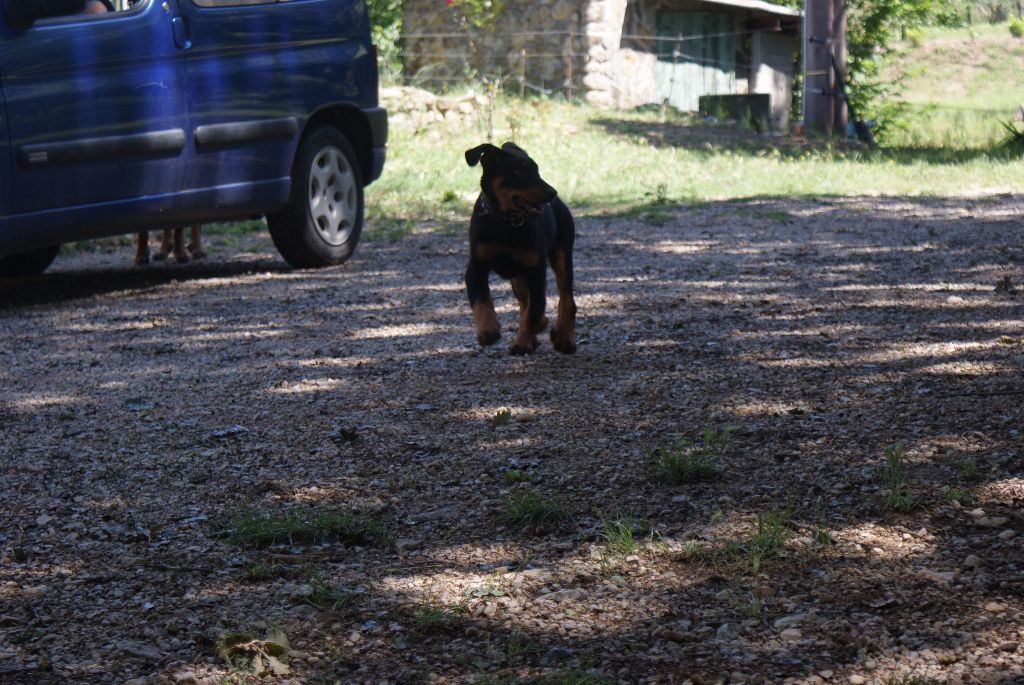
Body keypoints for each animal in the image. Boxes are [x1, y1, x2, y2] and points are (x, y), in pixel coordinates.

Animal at [464, 141, 577, 356]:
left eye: (537, 170)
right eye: (519, 172)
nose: (552, 193)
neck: (505, 222)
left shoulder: (536, 269)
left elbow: (535, 310)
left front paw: (540, 325)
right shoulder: (476, 267)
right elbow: (481, 301)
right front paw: (487, 332)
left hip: (562, 254)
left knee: (566, 298)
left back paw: (562, 338)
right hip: (518, 278)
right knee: (525, 303)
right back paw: (526, 341)